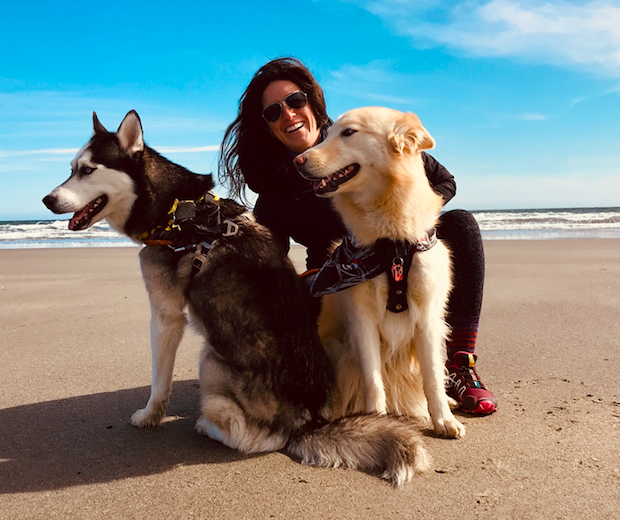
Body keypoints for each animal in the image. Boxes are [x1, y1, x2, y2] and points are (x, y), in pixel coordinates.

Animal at [42, 110, 432, 488]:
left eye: (87, 170)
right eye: (71, 168)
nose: (47, 200)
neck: (174, 211)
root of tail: (307, 421)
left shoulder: (165, 316)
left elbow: (159, 382)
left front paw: (149, 416)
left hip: (210, 360)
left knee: (252, 438)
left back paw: (206, 425)